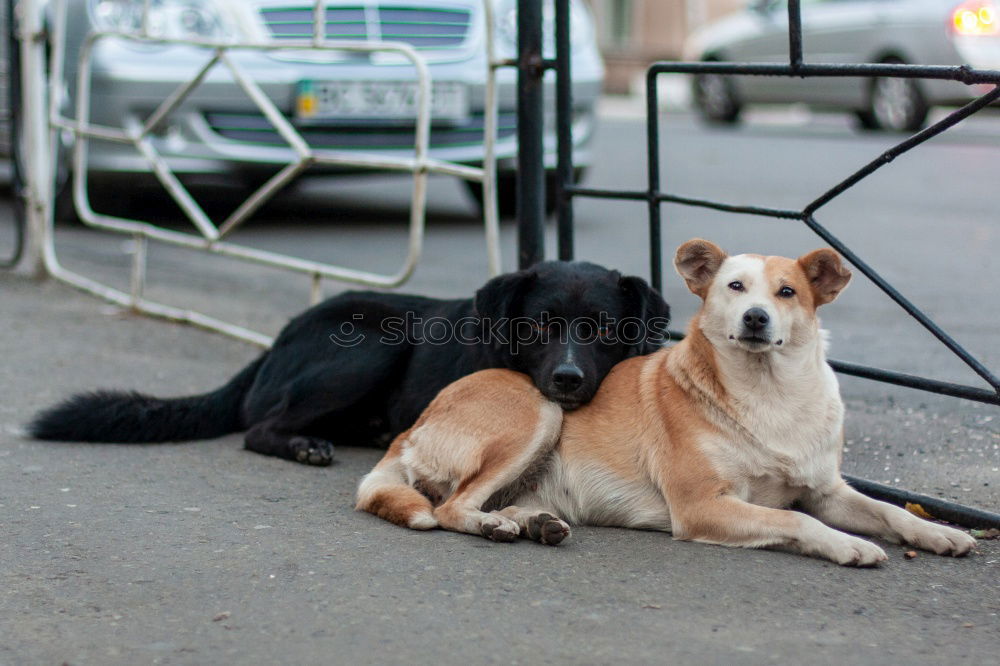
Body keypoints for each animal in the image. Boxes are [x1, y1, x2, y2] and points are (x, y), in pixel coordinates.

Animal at [31, 260, 668, 462]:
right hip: (370, 346)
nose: (567, 378)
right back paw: (305, 445)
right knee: (258, 427)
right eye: (538, 326)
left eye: (603, 330)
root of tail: (277, 340)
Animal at [356, 241, 972, 564]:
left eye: (787, 292)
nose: (756, 318)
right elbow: (793, 519)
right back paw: (495, 526)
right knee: (451, 507)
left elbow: (887, 510)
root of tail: (416, 424)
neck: (771, 395)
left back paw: (531, 522)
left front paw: (937, 532)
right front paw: (847, 545)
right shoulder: (705, 506)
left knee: (487, 503)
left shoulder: (827, 490)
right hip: (542, 413)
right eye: (734, 287)